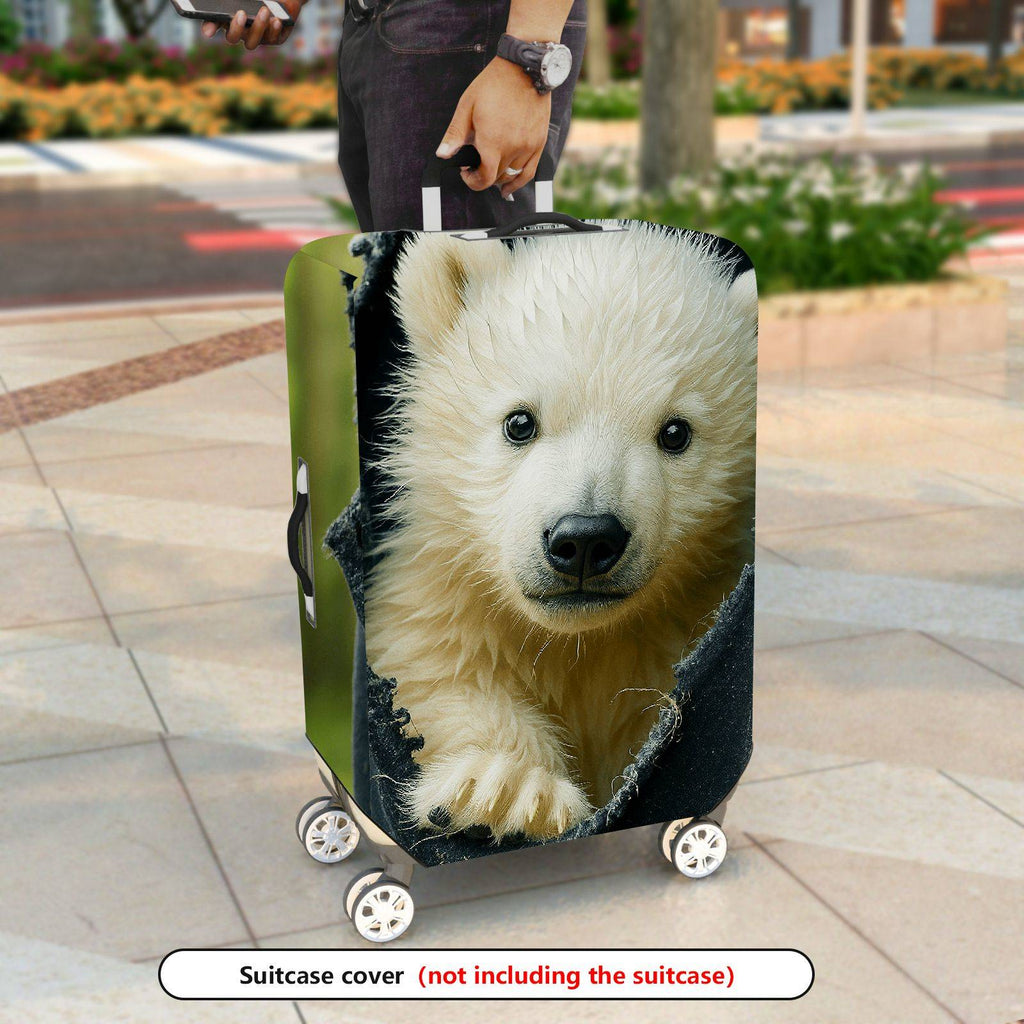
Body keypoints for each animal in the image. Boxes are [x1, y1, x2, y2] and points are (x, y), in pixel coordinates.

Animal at [363, 222, 757, 842]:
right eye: (520, 421)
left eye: (676, 431)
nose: (585, 539)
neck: (577, 644)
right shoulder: (444, 597)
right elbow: (437, 671)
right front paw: (506, 792)